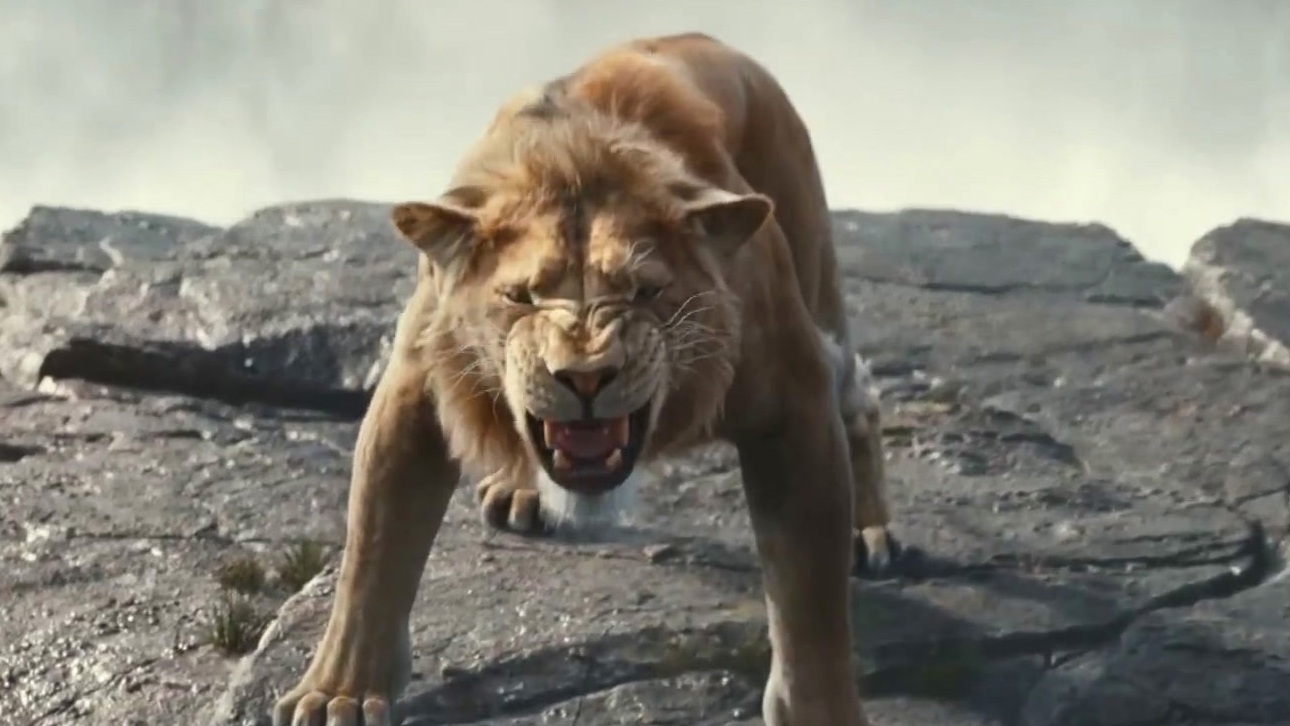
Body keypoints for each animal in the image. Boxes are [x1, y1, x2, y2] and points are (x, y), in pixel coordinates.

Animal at [273, 32, 900, 726]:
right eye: (521, 296)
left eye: (645, 292)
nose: (585, 376)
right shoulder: (415, 390)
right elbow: (373, 553)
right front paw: (338, 693)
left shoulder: (793, 402)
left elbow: (810, 602)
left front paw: (822, 706)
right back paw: (519, 491)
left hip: (815, 276)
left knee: (859, 394)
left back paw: (869, 531)